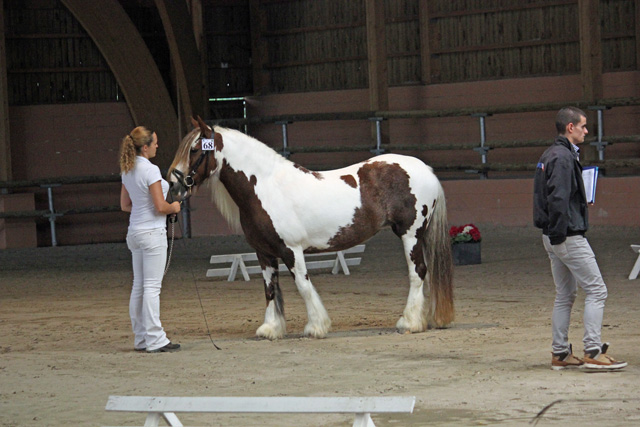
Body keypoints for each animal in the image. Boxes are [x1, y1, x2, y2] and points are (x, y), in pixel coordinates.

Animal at [168, 118, 452, 342]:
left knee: (418, 273)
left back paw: (409, 322)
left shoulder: (291, 250)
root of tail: (424, 169)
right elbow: (269, 289)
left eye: (195, 149)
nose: (173, 185)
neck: (266, 186)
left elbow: (303, 286)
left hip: (410, 234)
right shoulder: (263, 253)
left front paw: (316, 326)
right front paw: (271, 329)